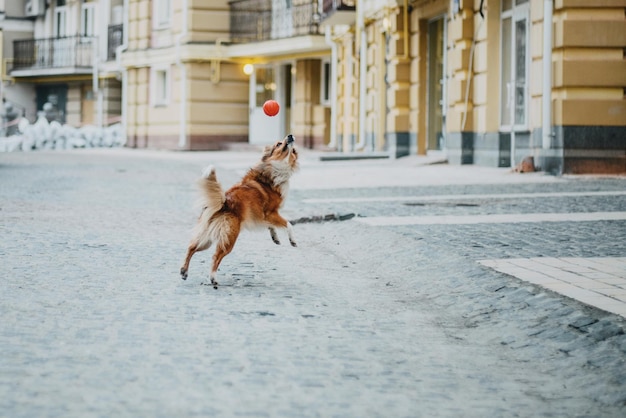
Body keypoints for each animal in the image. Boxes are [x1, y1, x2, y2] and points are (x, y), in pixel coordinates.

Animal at [179, 134, 298, 288]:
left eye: (293, 150)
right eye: (279, 144)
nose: (290, 135)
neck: (272, 168)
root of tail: (224, 202)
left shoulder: (264, 216)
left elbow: (271, 226)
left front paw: (275, 237)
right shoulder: (272, 213)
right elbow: (288, 224)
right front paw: (292, 240)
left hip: (208, 237)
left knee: (191, 247)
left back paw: (184, 271)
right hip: (229, 238)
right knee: (215, 256)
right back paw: (213, 278)